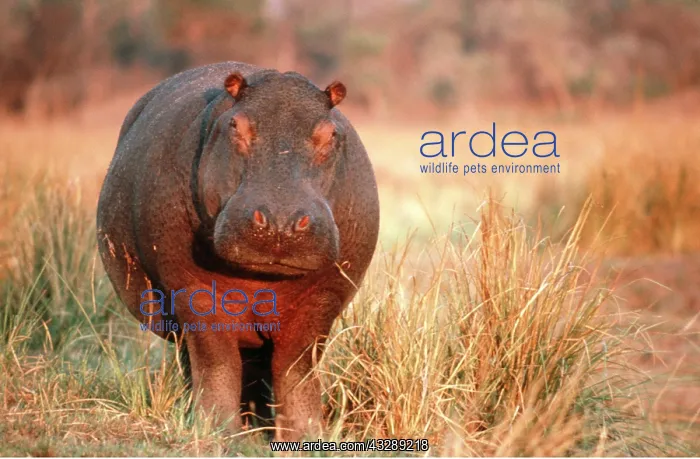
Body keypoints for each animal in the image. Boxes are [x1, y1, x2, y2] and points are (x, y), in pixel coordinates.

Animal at [96, 62, 380, 440]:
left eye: (330, 134)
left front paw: (305, 437)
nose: (280, 220)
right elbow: (216, 360)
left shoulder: (323, 297)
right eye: (235, 125)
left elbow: (295, 367)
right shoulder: (192, 289)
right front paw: (218, 432)